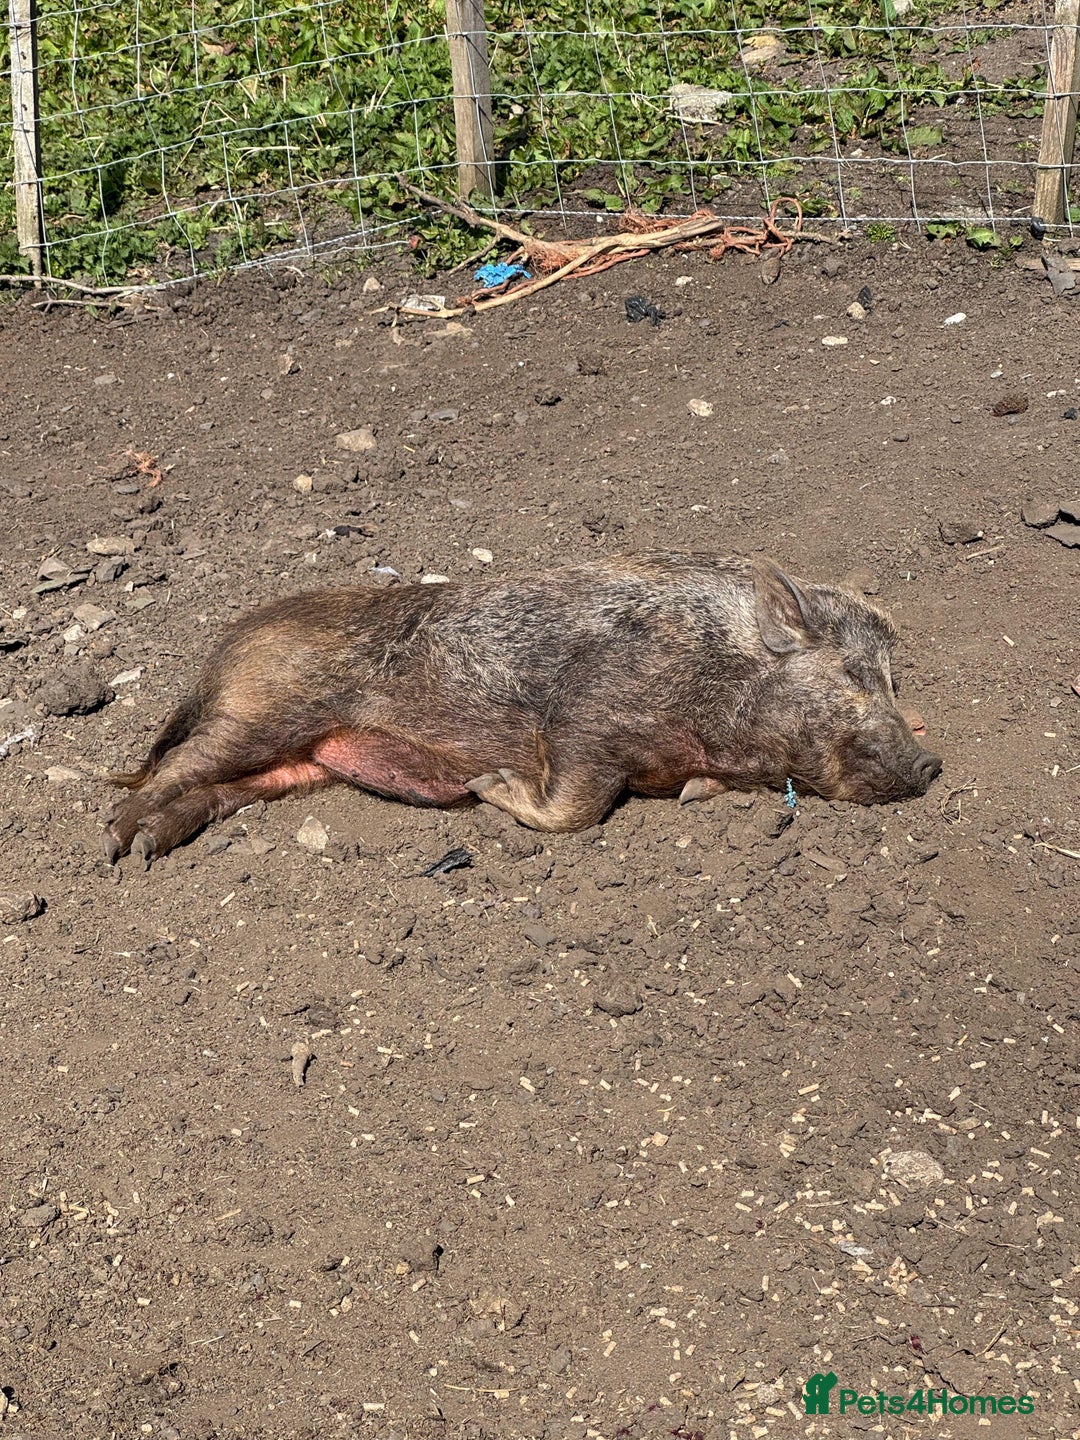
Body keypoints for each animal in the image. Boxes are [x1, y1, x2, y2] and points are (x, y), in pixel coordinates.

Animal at [103, 553, 942, 865]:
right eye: (856, 674)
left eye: (894, 680)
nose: (933, 761)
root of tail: (220, 653)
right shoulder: (584, 718)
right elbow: (572, 806)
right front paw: (487, 787)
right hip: (268, 710)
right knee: (180, 762)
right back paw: (116, 842)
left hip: (300, 765)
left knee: (220, 790)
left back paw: (148, 844)